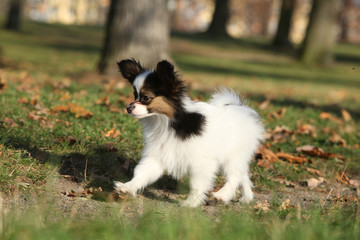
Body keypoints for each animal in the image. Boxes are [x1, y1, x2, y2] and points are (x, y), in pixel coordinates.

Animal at [115, 59, 264, 207]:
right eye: (135, 95)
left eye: (146, 97)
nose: (128, 108)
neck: (169, 123)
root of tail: (241, 108)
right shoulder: (158, 155)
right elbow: (141, 174)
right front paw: (127, 187)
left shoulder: (201, 161)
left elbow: (197, 185)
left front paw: (191, 203)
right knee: (243, 175)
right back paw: (247, 197)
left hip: (233, 156)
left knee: (235, 175)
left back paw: (222, 195)